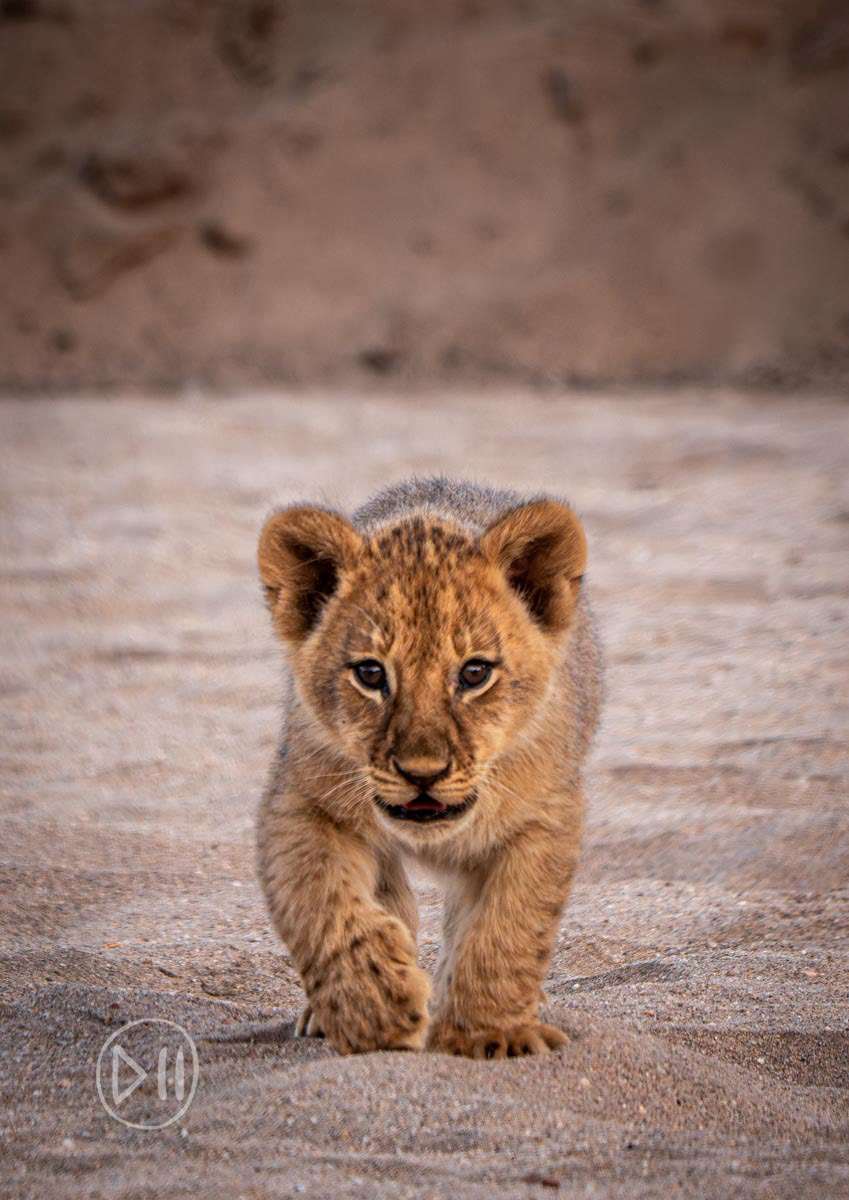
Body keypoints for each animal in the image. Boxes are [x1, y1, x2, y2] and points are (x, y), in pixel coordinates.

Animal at [256, 477, 602, 1058]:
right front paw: (376, 1008)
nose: (423, 773)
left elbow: (508, 929)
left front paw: (493, 1033)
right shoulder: (299, 802)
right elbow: (323, 905)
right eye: (371, 673)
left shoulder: (546, 817)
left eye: (475, 672)